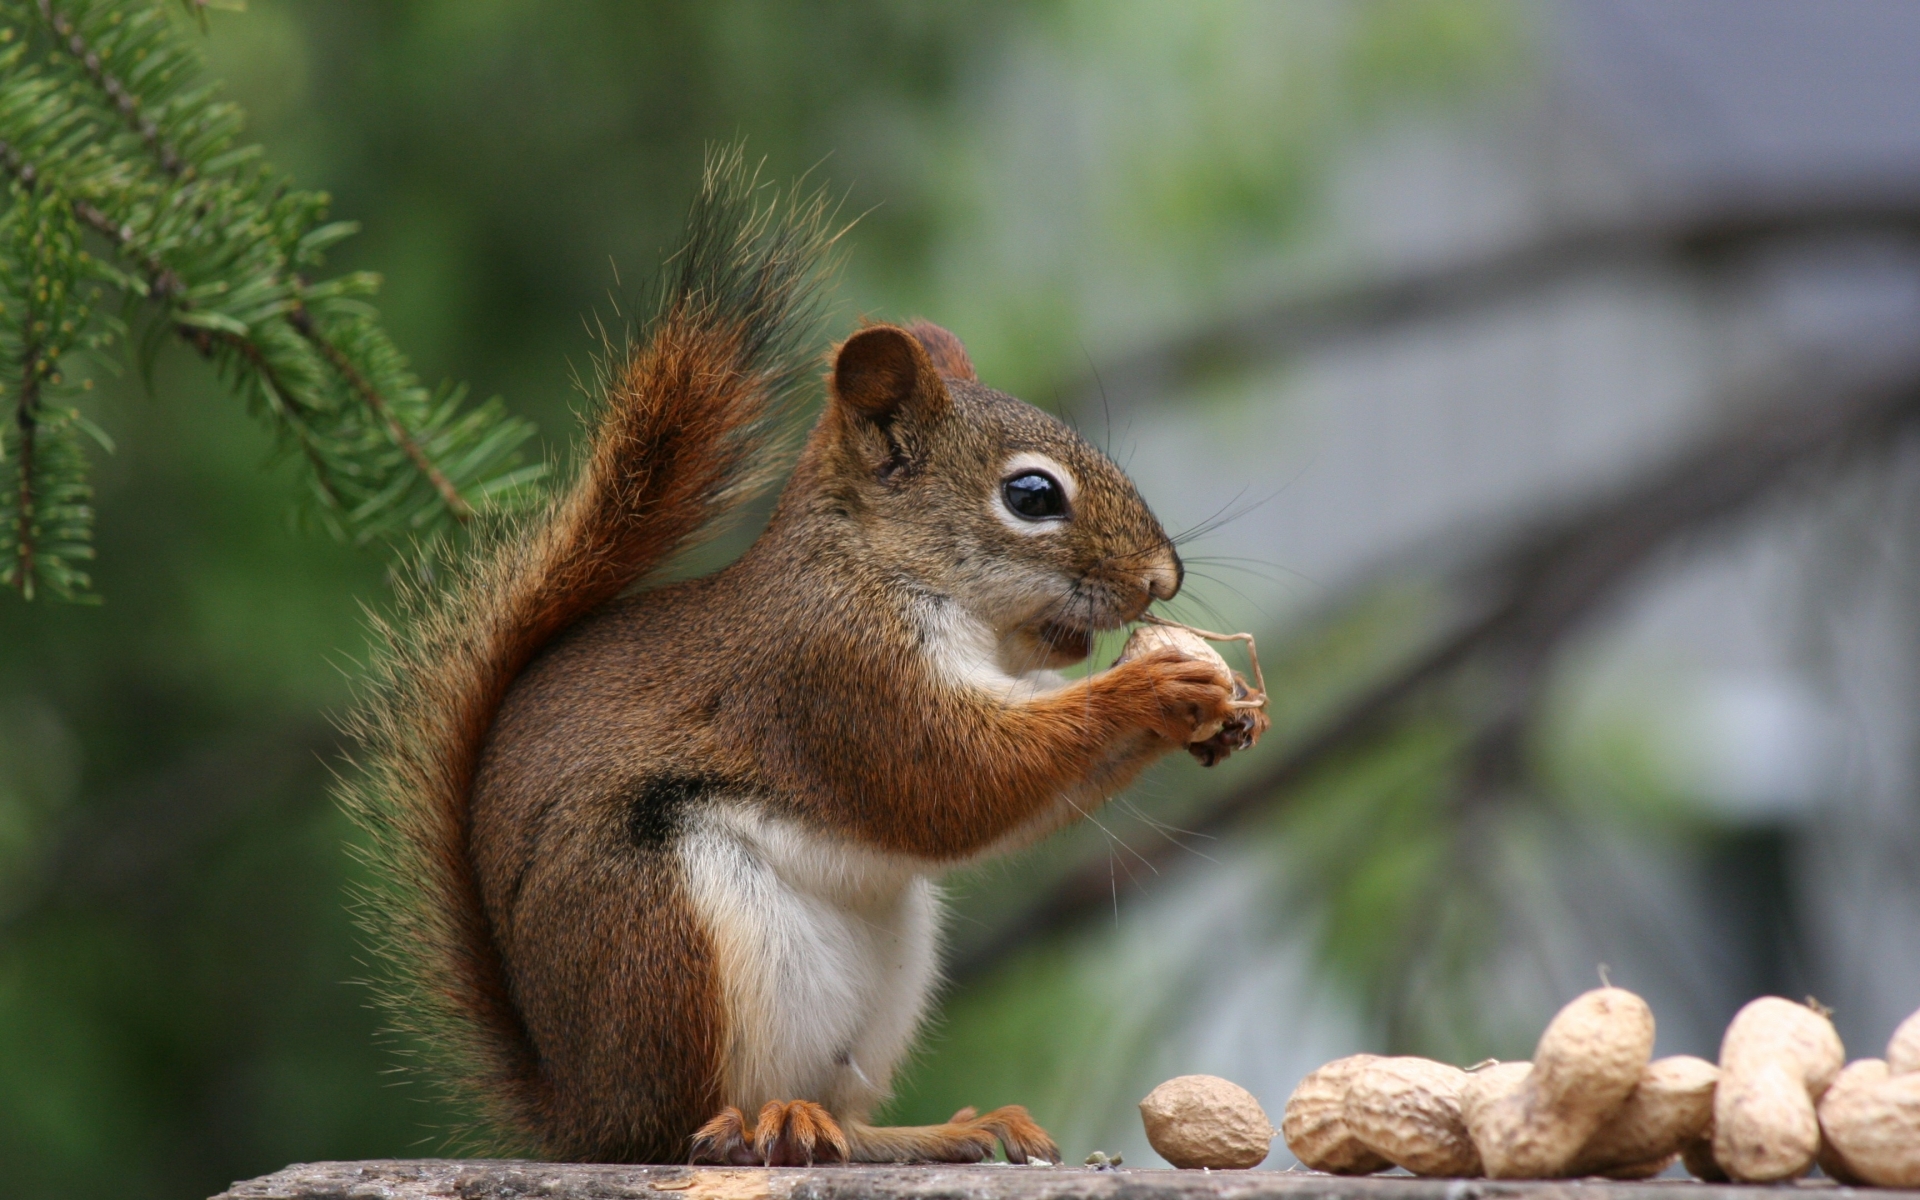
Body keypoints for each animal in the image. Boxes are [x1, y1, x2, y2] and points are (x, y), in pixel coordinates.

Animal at [341, 144, 1244, 1167]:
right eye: (1031, 496)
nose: (1164, 578)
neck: (889, 570)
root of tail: (580, 1112)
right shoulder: (834, 674)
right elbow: (955, 780)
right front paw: (1156, 684)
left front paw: (1214, 708)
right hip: (664, 936)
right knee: (677, 1130)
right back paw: (745, 1128)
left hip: (883, 978)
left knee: (844, 1120)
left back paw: (934, 1130)